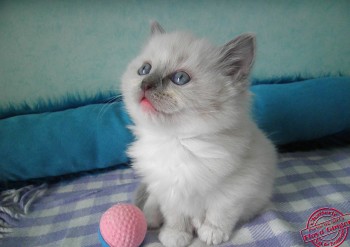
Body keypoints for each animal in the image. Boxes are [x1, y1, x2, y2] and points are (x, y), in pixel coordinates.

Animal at [121, 21, 278, 247]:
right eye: (145, 69)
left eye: (180, 78)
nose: (145, 84)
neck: (175, 141)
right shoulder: (169, 190)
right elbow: (175, 215)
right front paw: (175, 235)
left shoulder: (238, 186)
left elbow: (219, 211)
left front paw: (211, 233)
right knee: (152, 199)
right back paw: (150, 217)